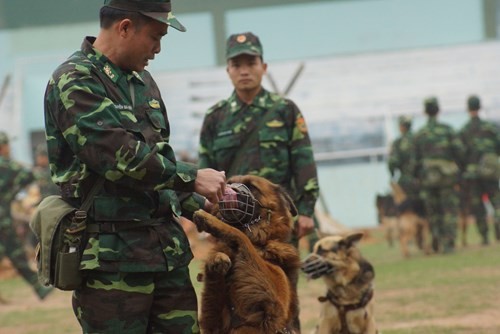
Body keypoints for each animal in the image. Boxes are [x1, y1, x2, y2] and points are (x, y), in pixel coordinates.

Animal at [191, 175, 300, 334]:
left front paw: (211, 220)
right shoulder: (215, 323)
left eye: (252, 186)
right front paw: (216, 259)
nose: (229, 192)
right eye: (228, 184)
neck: (260, 244)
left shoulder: (276, 306)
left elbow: (240, 235)